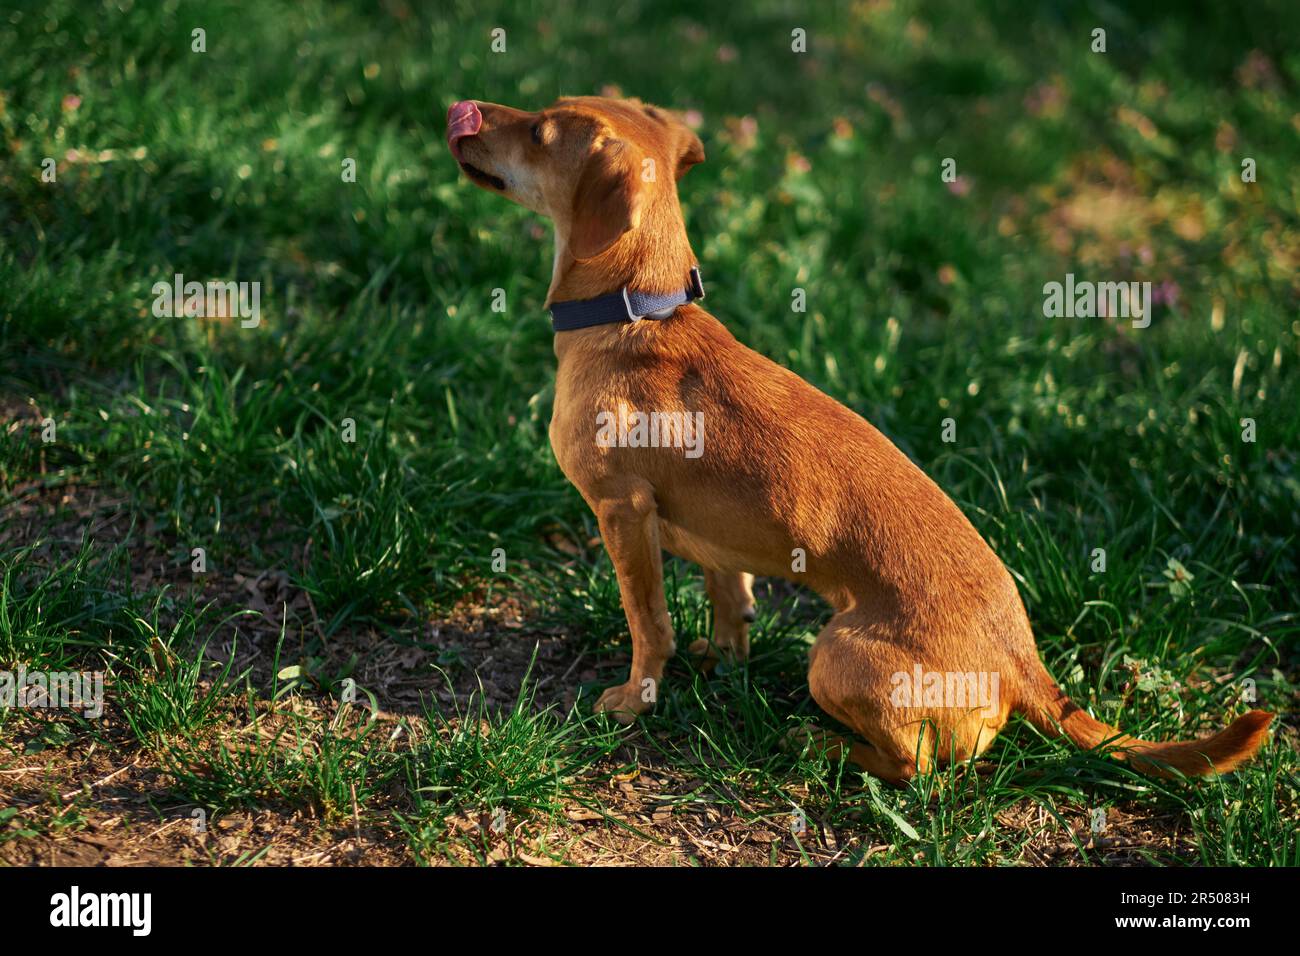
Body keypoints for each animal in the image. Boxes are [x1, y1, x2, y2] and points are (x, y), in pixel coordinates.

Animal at [444, 95, 1268, 785]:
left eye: (541, 131)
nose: (467, 107)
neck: (637, 312)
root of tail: (1022, 662)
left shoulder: (622, 512)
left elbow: (651, 625)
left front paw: (634, 700)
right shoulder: (715, 536)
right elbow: (729, 599)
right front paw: (725, 657)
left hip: (834, 656)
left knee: (919, 770)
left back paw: (818, 745)